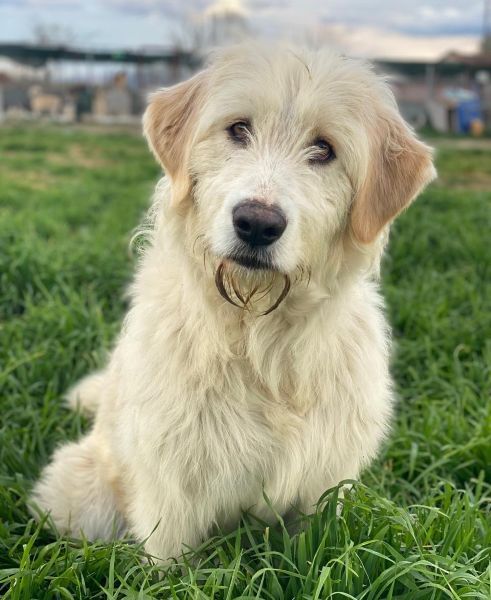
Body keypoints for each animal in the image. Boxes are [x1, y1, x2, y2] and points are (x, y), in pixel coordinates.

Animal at [32, 43, 435, 562]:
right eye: (238, 129)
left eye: (324, 149)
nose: (257, 223)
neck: (257, 335)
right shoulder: (171, 494)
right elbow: (168, 564)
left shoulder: (323, 486)